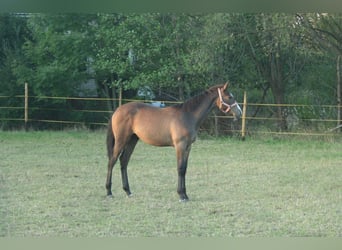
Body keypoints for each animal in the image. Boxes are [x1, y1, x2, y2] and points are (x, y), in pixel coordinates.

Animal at [105, 83, 242, 202]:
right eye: (230, 97)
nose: (239, 113)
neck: (188, 115)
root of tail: (118, 110)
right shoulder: (180, 146)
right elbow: (180, 168)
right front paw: (181, 195)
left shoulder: (188, 147)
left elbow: (184, 169)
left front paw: (185, 194)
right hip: (121, 140)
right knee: (112, 161)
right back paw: (109, 192)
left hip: (132, 140)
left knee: (124, 161)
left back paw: (128, 191)